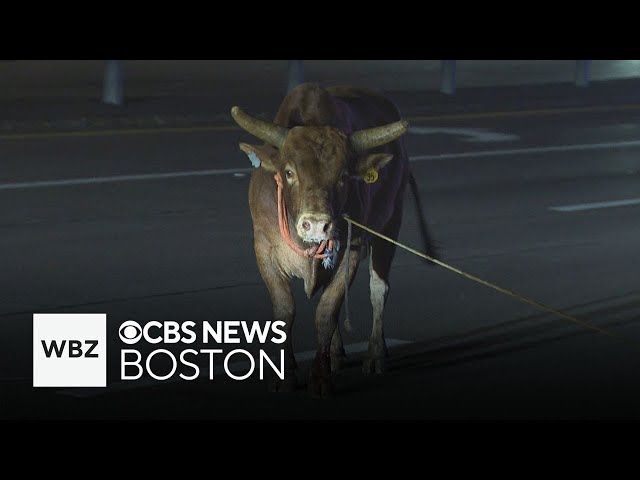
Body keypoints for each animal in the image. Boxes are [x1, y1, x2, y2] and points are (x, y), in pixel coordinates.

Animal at [230, 83, 436, 398]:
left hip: (391, 222)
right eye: (289, 172)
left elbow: (327, 312)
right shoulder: (263, 248)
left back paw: (375, 354)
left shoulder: (351, 251)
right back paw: (337, 354)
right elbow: (284, 310)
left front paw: (320, 378)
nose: (316, 224)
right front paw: (284, 376)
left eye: (343, 177)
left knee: (379, 289)